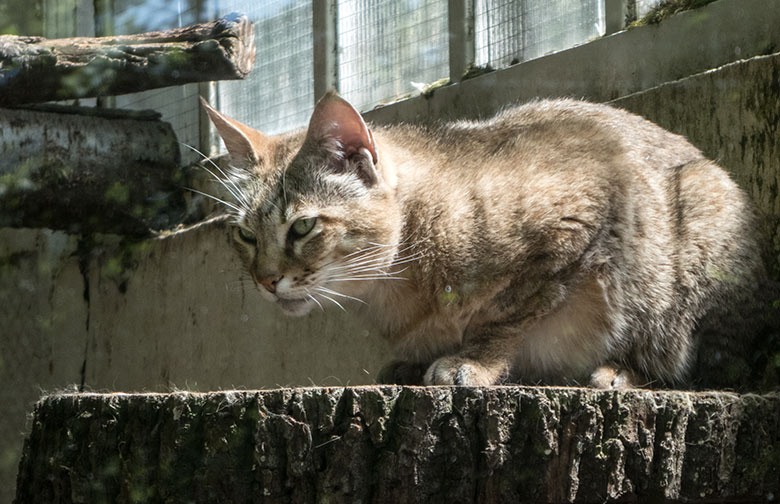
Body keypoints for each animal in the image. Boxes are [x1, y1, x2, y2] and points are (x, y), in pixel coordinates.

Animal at [200, 90, 760, 388]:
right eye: (245, 234)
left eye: (302, 226)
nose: (266, 280)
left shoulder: (581, 215)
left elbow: (507, 314)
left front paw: (472, 359)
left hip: (696, 227)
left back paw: (623, 371)